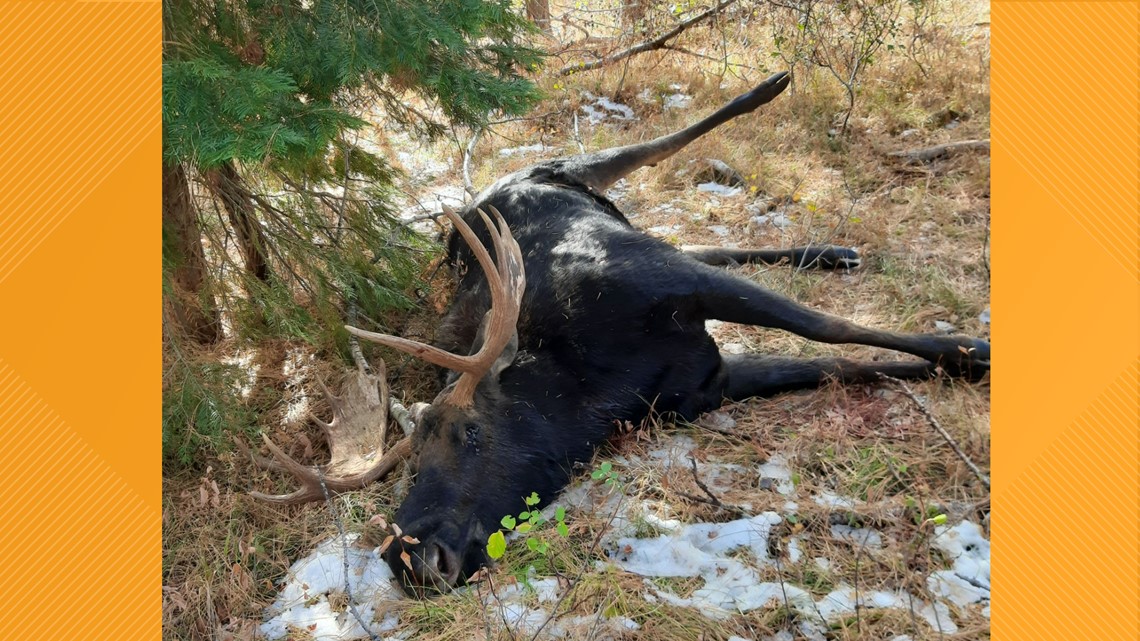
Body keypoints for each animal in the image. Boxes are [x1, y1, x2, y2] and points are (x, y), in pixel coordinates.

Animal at [245, 71, 989, 596]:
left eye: (472, 434)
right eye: (411, 462)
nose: (408, 557)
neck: (596, 385)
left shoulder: (673, 282)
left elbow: (832, 327)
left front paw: (976, 348)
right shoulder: (707, 382)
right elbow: (844, 361)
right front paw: (956, 359)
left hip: (583, 172)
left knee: (657, 150)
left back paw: (770, 86)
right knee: (710, 241)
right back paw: (830, 250)